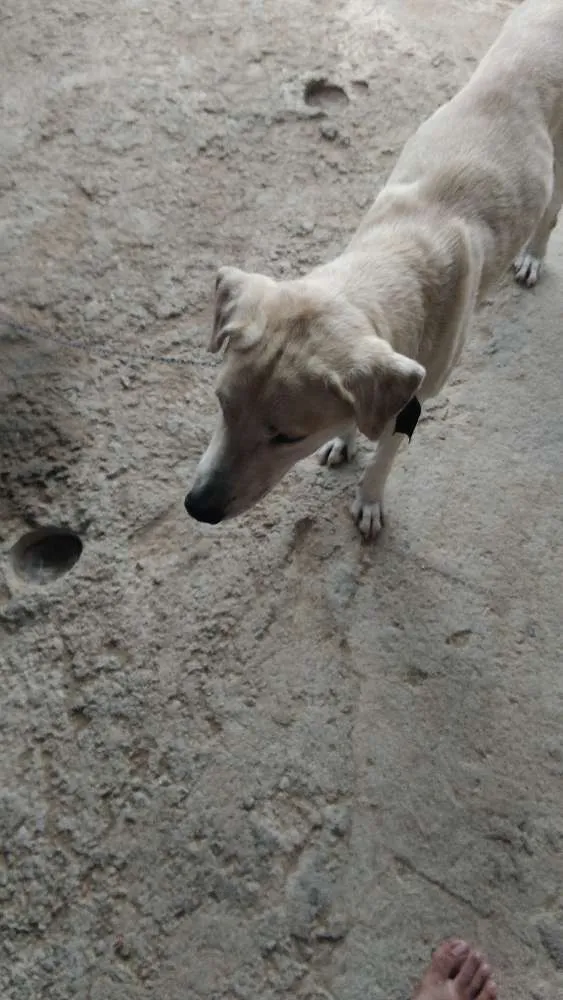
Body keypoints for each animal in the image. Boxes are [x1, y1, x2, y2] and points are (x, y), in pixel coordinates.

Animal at [186, 0, 563, 540]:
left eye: (287, 436)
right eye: (221, 404)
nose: (197, 507)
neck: (391, 259)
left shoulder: (413, 402)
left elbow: (384, 455)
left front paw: (367, 499)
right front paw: (344, 437)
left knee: (550, 213)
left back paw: (533, 255)